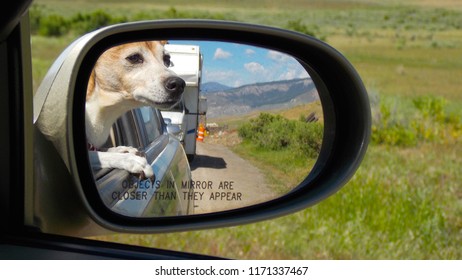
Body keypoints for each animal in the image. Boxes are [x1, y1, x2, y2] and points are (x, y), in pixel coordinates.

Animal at [85, 40, 186, 178]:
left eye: (167, 59)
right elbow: (96, 155)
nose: (179, 85)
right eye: (134, 58)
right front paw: (128, 159)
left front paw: (120, 149)